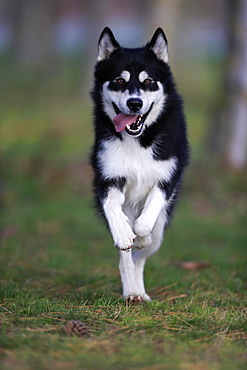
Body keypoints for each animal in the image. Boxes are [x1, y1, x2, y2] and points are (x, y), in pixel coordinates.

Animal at [90, 26, 189, 304]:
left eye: (147, 81)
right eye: (119, 81)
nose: (135, 103)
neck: (138, 139)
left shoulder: (167, 179)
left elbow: (145, 223)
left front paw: (141, 237)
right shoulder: (107, 178)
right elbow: (113, 210)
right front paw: (125, 233)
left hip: (163, 227)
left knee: (141, 255)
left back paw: (140, 288)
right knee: (125, 256)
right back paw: (132, 291)